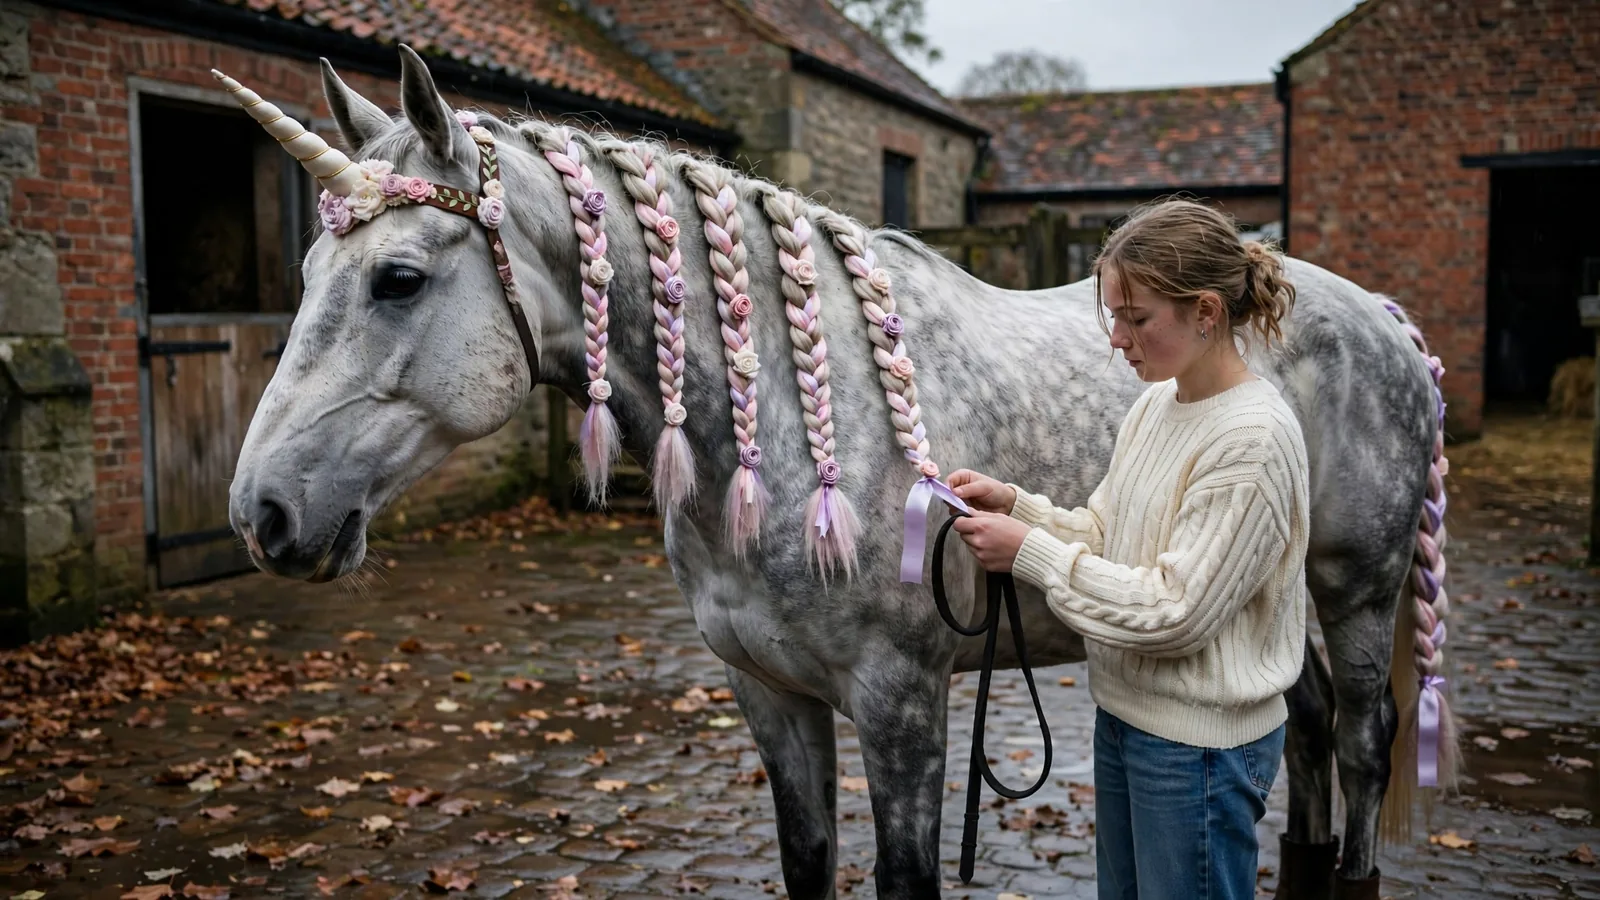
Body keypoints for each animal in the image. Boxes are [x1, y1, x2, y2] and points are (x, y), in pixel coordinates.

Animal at [218, 47, 1458, 899]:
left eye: (398, 278)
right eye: (307, 270)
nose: (261, 513)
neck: (789, 427)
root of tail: (1380, 316)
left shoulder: (902, 705)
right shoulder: (768, 692)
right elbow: (808, 859)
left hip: (1355, 592)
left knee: (1357, 742)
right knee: (1297, 728)